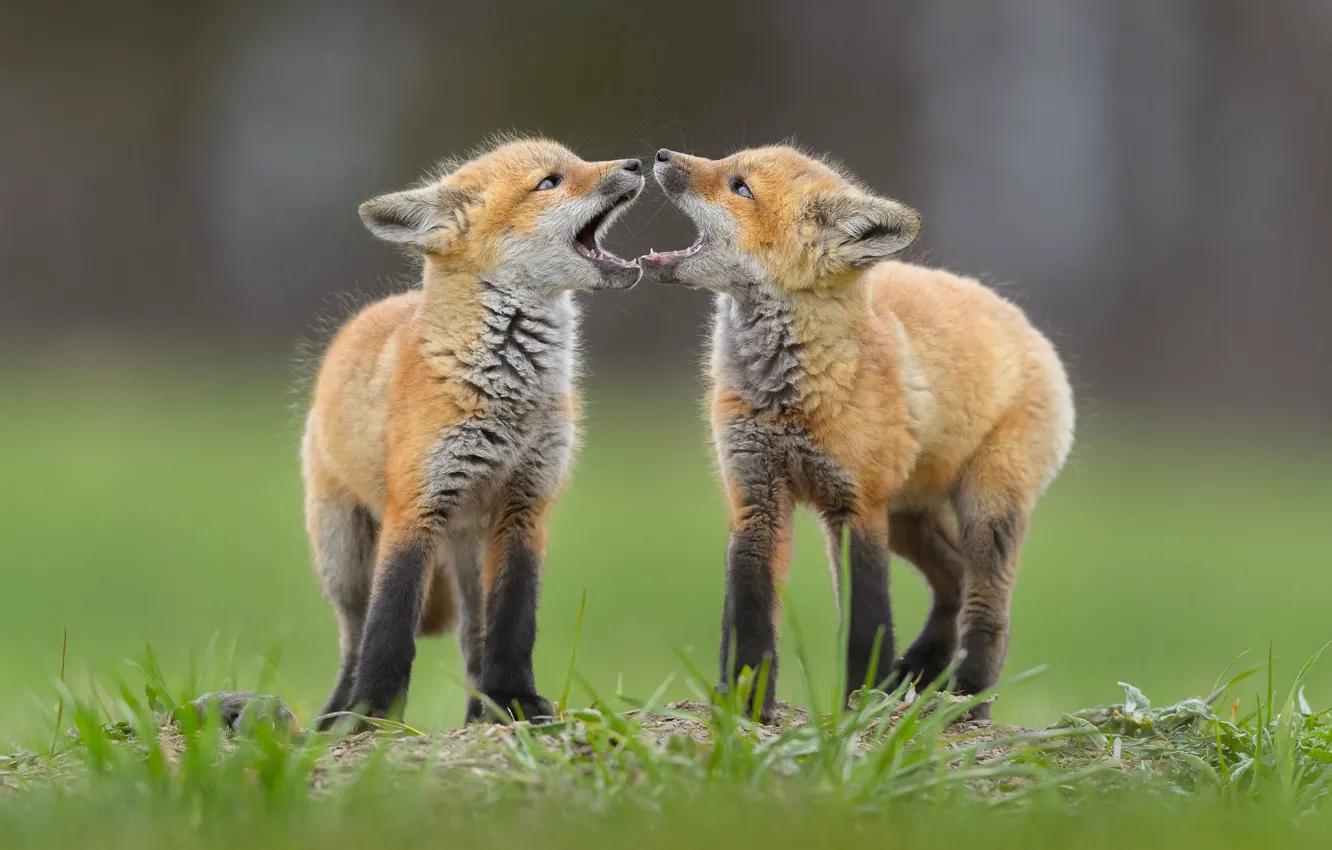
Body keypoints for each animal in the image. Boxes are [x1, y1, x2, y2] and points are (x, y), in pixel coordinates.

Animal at [302, 137, 644, 728]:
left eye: (576, 161)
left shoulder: (525, 509)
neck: (507, 390)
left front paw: (515, 701)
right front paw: (375, 714)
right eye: (550, 182)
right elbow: (389, 628)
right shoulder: (415, 508)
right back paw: (336, 717)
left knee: (471, 637)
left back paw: (476, 714)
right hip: (343, 557)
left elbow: (511, 627)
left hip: (467, 550)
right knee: (353, 635)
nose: (637, 164)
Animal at [640, 145, 1075, 722]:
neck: (787, 397)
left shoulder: (857, 507)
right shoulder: (756, 499)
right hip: (909, 517)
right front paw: (745, 708)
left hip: (983, 511)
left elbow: (867, 625)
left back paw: (968, 702)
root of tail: (1028, 325)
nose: (662, 155)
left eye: (740, 187)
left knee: (988, 611)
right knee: (953, 580)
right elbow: (748, 616)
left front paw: (858, 710)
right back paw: (919, 672)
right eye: (729, 163)